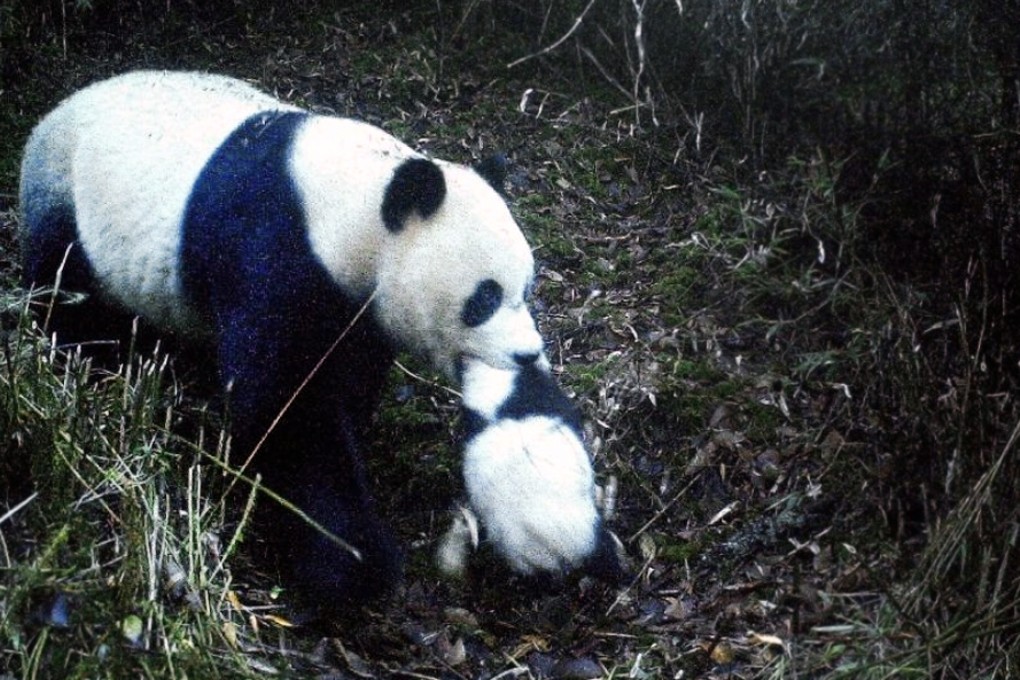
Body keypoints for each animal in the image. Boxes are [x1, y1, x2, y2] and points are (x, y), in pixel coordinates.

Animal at [17, 70, 603, 611]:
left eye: (526, 288)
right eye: (483, 297)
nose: (526, 354)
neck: (352, 205)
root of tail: (52, 115)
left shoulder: (357, 305)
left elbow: (350, 375)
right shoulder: (276, 252)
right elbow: (282, 409)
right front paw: (353, 563)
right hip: (70, 204)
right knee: (66, 289)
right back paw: (95, 352)